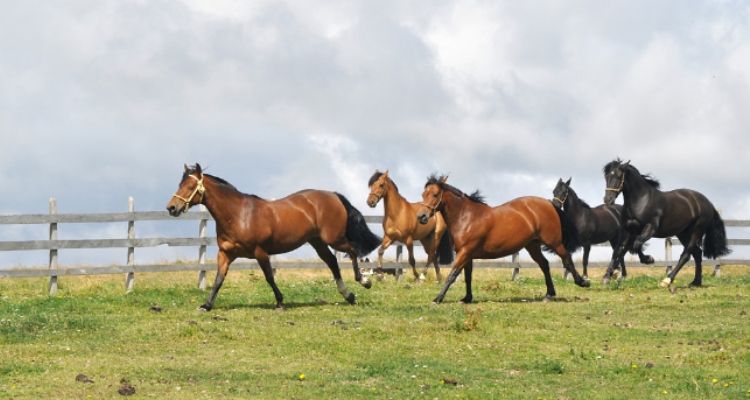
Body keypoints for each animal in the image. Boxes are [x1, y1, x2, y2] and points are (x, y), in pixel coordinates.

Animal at [169, 164, 382, 310]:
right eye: (180, 184)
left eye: (190, 187)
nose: (171, 208)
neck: (239, 214)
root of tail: (333, 195)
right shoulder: (225, 253)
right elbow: (219, 279)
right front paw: (206, 305)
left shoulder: (260, 252)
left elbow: (269, 277)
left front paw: (280, 302)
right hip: (318, 242)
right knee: (332, 262)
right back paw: (348, 295)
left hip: (334, 239)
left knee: (352, 250)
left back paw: (363, 280)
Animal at [414, 175, 592, 304]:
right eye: (423, 194)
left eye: (435, 194)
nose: (421, 217)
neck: (466, 217)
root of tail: (549, 204)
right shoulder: (467, 254)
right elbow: (467, 276)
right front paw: (467, 298)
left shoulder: (465, 252)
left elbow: (452, 275)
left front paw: (437, 299)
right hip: (532, 245)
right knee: (545, 264)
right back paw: (549, 294)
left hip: (553, 242)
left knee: (566, 258)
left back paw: (582, 282)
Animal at [604, 159, 732, 288]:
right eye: (606, 176)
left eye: (619, 176)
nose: (607, 199)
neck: (641, 201)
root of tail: (708, 203)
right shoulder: (628, 230)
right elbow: (619, 250)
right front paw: (608, 276)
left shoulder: (650, 228)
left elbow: (635, 246)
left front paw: (649, 259)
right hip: (683, 234)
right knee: (697, 253)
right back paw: (695, 282)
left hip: (695, 231)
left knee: (686, 255)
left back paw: (667, 280)